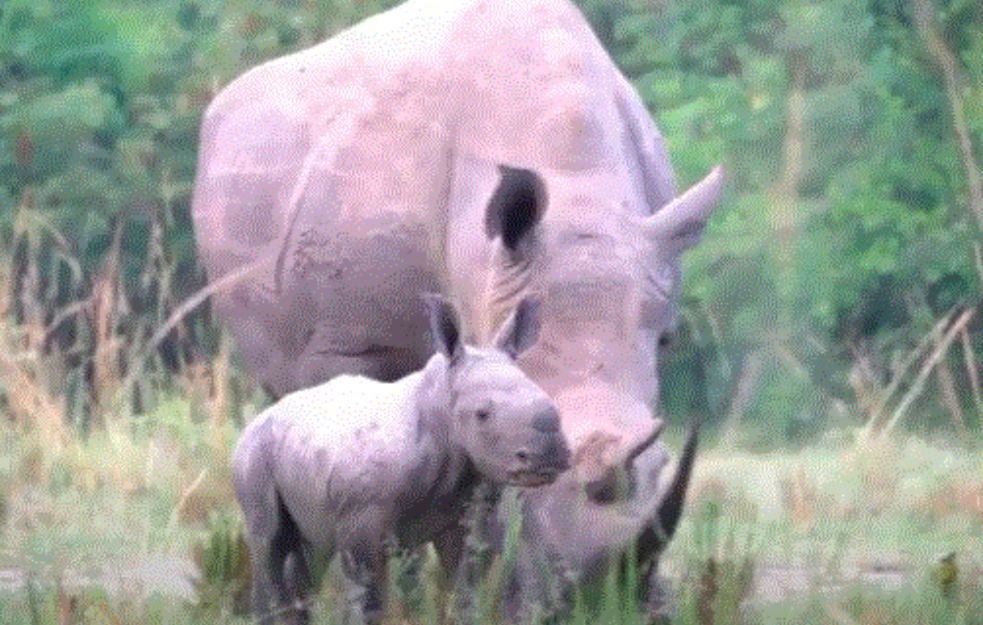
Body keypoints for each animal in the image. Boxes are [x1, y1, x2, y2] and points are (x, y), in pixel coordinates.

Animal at [234, 296, 572, 624]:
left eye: (550, 399)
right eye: (482, 414)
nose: (548, 456)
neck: (440, 409)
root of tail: (260, 418)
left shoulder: (467, 512)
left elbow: (466, 589)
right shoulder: (360, 518)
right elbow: (368, 599)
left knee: (308, 552)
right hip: (253, 453)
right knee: (269, 544)